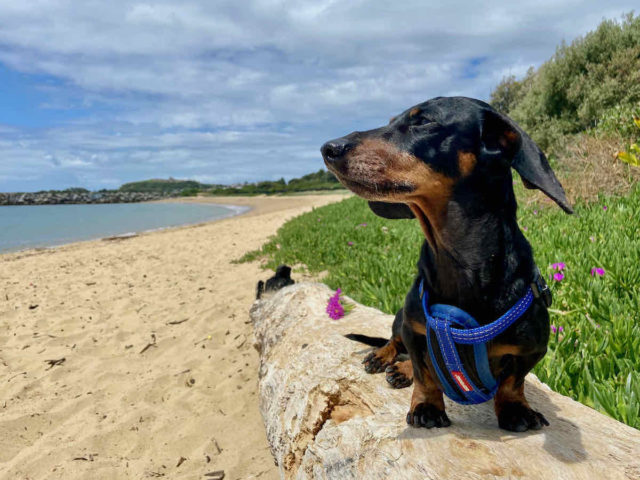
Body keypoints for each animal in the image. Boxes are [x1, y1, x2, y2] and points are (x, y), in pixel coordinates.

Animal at [322, 96, 572, 432]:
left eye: (423, 121)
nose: (328, 148)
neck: (460, 264)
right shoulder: (414, 329)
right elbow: (425, 373)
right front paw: (427, 406)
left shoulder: (532, 349)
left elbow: (513, 381)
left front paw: (516, 408)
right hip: (400, 317)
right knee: (395, 341)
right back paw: (385, 357)